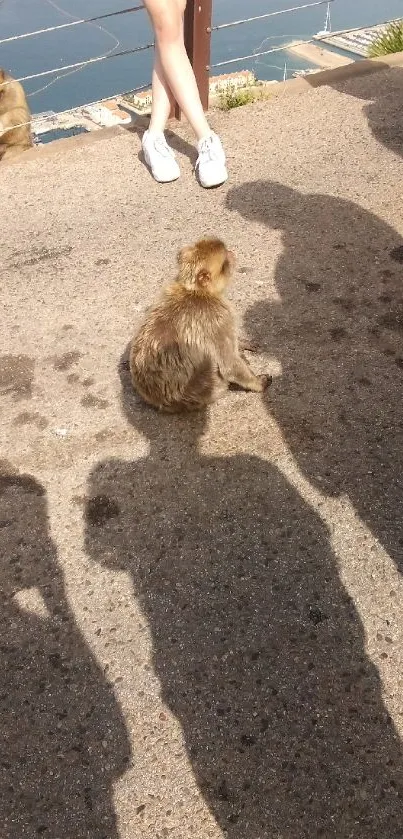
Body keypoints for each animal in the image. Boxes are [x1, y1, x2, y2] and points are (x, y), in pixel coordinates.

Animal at [131, 238, 274, 412]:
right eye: (225, 261)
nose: (232, 253)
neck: (197, 292)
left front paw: (242, 343)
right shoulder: (218, 317)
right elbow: (229, 365)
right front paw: (259, 383)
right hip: (207, 386)